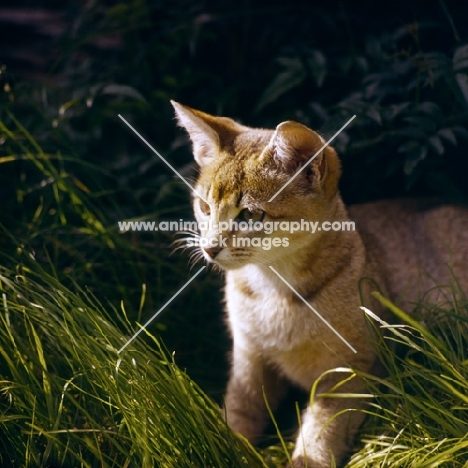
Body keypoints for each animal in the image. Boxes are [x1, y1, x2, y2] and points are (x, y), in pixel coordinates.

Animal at [170, 100, 468, 466]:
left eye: (250, 215)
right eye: (204, 206)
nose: (209, 247)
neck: (273, 291)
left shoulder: (350, 370)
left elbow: (320, 435)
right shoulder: (248, 361)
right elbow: (239, 415)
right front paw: (226, 449)